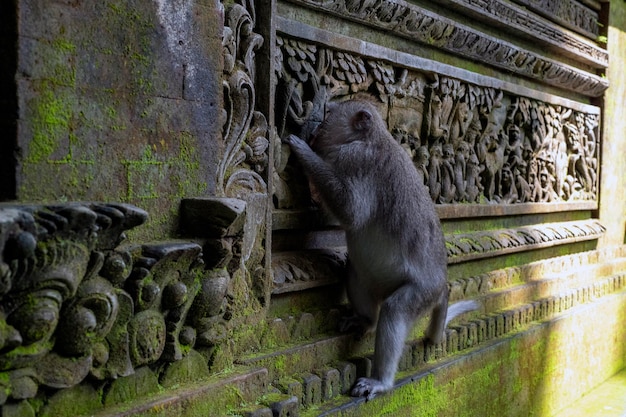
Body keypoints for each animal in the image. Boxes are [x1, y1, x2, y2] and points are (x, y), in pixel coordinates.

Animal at [280, 98, 476, 400]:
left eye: (327, 118)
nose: (315, 132)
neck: (372, 137)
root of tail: (442, 285)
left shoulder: (357, 160)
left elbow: (350, 212)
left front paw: (304, 152)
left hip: (422, 292)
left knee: (395, 310)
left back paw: (381, 381)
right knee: (355, 271)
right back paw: (365, 320)